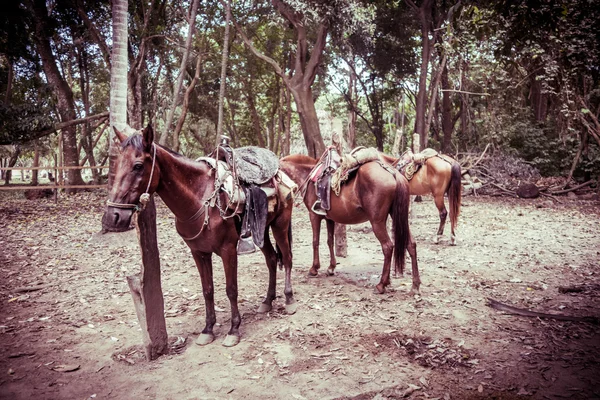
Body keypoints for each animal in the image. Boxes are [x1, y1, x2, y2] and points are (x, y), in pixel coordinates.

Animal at [105, 125, 298, 346]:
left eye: (137, 166)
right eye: (116, 164)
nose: (113, 216)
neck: (199, 197)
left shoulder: (228, 250)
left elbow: (231, 289)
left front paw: (233, 330)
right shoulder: (198, 252)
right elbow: (207, 290)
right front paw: (208, 330)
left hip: (280, 225)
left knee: (287, 258)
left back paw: (289, 300)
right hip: (261, 230)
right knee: (272, 259)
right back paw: (267, 301)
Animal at [278, 153, 420, 294]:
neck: (308, 174)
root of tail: (393, 173)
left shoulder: (314, 215)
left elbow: (315, 241)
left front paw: (314, 269)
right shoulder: (329, 218)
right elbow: (330, 241)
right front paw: (331, 267)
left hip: (377, 222)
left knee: (388, 247)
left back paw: (381, 285)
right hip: (398, 217)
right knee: (411, 244)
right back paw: (415, 285)